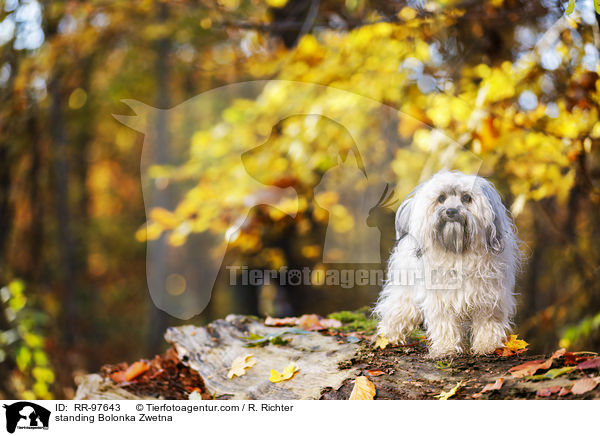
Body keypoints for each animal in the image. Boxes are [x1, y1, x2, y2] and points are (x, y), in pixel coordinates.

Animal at [376, 170, 520, 358]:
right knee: (397, 310)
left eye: (466, 198)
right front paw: (446, 348)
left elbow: (488, 322)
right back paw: (389, 337)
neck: (458, 253)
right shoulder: (441, 299)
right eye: (441, 198)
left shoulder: (489, 298)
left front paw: (487, 345)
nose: (451, 211)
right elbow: (445, 323)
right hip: (404, 290)